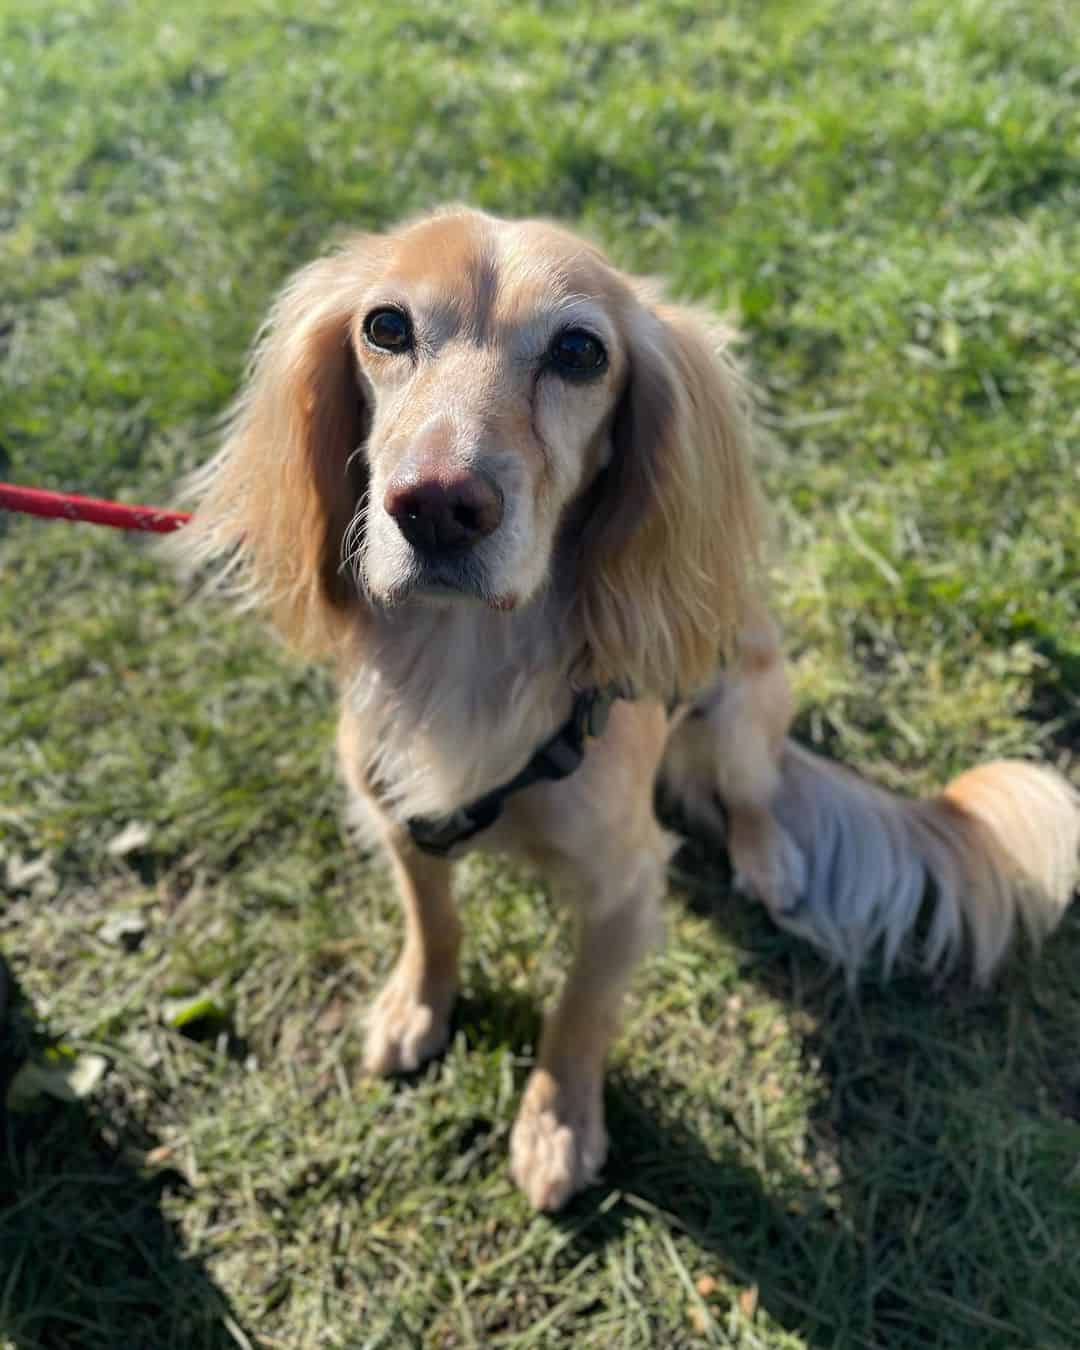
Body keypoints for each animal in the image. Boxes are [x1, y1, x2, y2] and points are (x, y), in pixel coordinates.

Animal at [172, 205, 1074, 1209]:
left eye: (578, 351)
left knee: (756, 794)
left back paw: (769, 861)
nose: (438, 506)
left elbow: (578, 1012)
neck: (469, 660)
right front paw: (418, 1004)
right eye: (385, 327)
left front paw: (558, 1126)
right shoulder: (400, 819)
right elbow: (432, 921)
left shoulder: (624, 885)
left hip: (742, 707)